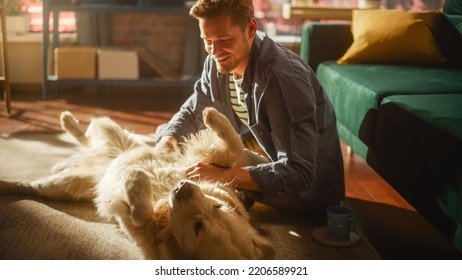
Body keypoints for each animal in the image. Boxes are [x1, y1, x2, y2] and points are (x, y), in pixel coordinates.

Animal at [0, 106, 274, 260]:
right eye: (216, 207)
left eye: (199, 227)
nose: (182, 187)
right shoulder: (199, 165)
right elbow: (233, 146)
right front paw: (213, 115)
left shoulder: (135, 224)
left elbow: (139, 212)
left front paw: (134, 178)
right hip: (117, 134)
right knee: (90, 131)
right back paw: (67, 120)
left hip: (63, 185)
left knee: (28, 185)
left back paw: (7, 183)